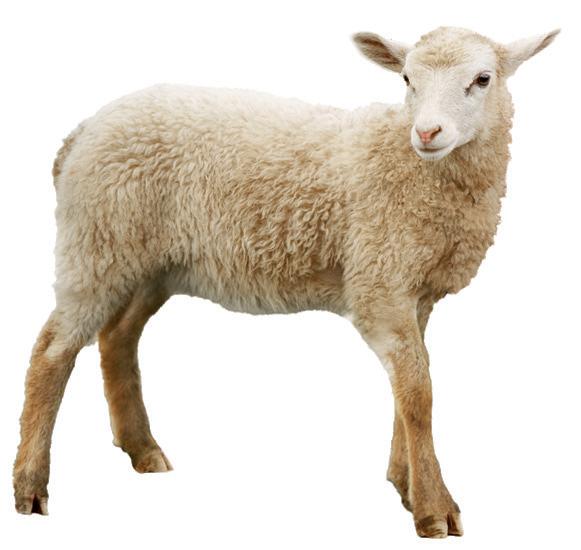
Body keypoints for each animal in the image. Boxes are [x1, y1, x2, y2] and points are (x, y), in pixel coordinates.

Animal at [14, 26, 558, 538]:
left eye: (482, 79)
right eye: (407, 79)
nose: (427, 132)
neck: (410, 167)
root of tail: (80, 133)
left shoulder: (414, 290)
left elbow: (408, 390)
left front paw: (403, 483)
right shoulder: (379, 280)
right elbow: (419, 393)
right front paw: (434, 510)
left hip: (148, 260)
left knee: (118, 338)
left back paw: (142, 450)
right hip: (97, 242)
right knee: (51, 352)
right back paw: (31, 486)